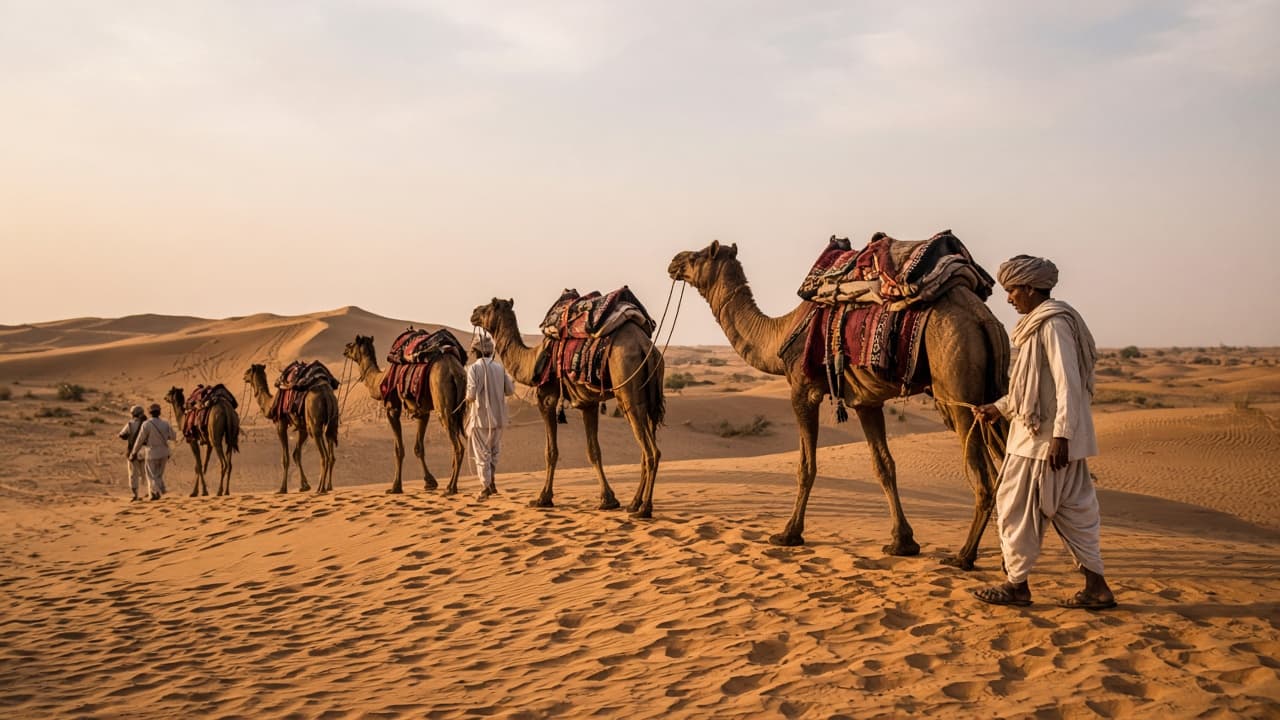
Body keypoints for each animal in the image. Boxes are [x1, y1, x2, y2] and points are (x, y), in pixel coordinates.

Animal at [243, 363, 340, 494]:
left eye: (249, 370)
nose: (244, 375)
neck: (271, 404)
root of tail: (326, 394)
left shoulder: (281, 424)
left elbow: (286, 458)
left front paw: (282, 489)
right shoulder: (302, 428)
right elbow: (296, 454)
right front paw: (305, 486)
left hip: (314, 422)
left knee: (324, 456)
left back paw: (320, 488)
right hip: (332, 420)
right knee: (331, 454)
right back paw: (328, 487)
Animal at [342, 335, 467, 495]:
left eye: (352, 345)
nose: (345, 349)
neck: (380, 380)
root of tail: (454, 371)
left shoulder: (392, 408)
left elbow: (398, 449)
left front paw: (395, 487)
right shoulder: (422, 411)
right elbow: (419, 448)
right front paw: (430, 482)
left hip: (442, 402)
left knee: (458, 447)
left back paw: (451, 487)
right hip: (459, 408)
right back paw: (453, 485)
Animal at [470, 298, 665, 517]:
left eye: (489, 306)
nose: (474, 312)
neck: (533, 359)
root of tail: (645, 346)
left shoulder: (546, 398)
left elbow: (550, 451)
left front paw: (543, 498)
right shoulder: (588, 404)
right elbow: (593, 451)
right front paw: (608, 500)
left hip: (628, 391)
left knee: (651, 451)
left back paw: (644, 509)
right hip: (650, 400)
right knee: (647, 449)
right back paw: (634, 503)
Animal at [669, 240, 1009, 569]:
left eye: (697, 256)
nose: (674, 261)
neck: (779, 333)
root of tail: (984, 319)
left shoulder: (802, 390)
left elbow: (806, 466)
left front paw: (789, 534)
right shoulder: (866, 401)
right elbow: (884, 466)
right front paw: (903, 542)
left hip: (956, 383)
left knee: (984, 475)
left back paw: (964, 556)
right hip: (995, 388)